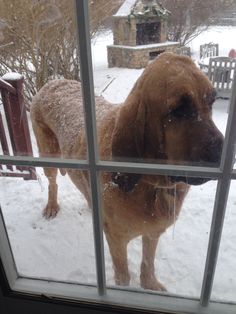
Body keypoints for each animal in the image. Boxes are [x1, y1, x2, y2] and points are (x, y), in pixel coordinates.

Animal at [30, 53, 223, 292]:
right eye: (179, 110)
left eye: (212, 101)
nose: (223, 152)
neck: (150, 184)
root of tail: (53, 82)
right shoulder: (117, 240)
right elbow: (123, 275)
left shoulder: (153, 232)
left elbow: (148, 262)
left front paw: (150, 284)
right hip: (48, 154)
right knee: (53, 182)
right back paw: (52, 206)